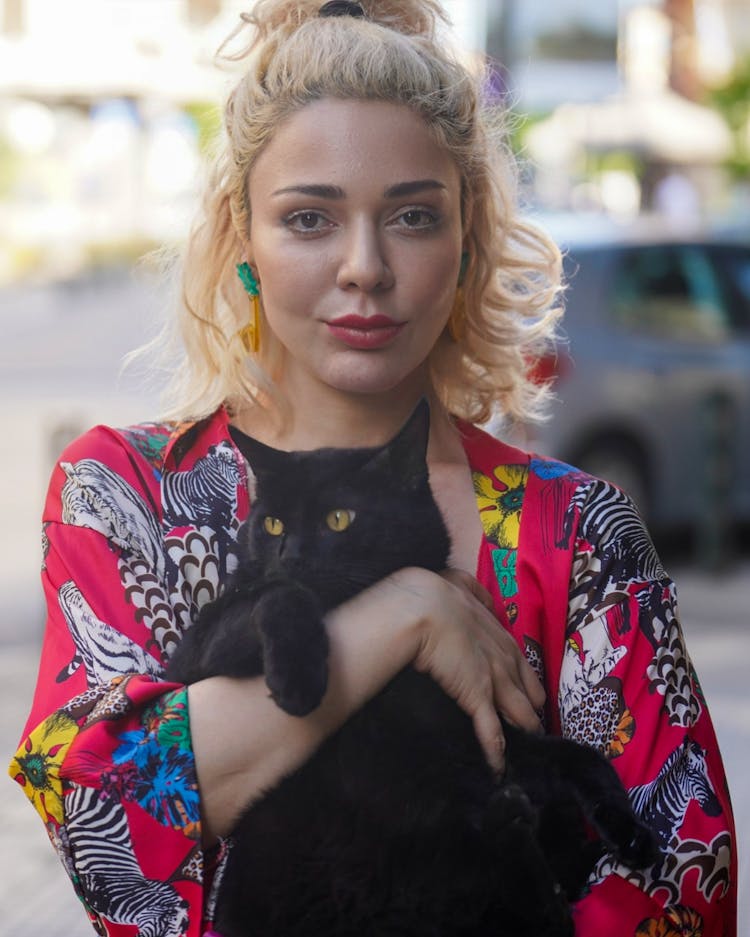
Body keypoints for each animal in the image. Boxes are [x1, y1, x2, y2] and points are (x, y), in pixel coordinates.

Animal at [166, 402, 656, 936]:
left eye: (339, 519)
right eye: (272, 525)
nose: (289, 555)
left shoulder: (492, 737)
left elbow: (583, 758)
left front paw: (632, 832)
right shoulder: (195, 651)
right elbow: (282, 593)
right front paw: (299, 682)